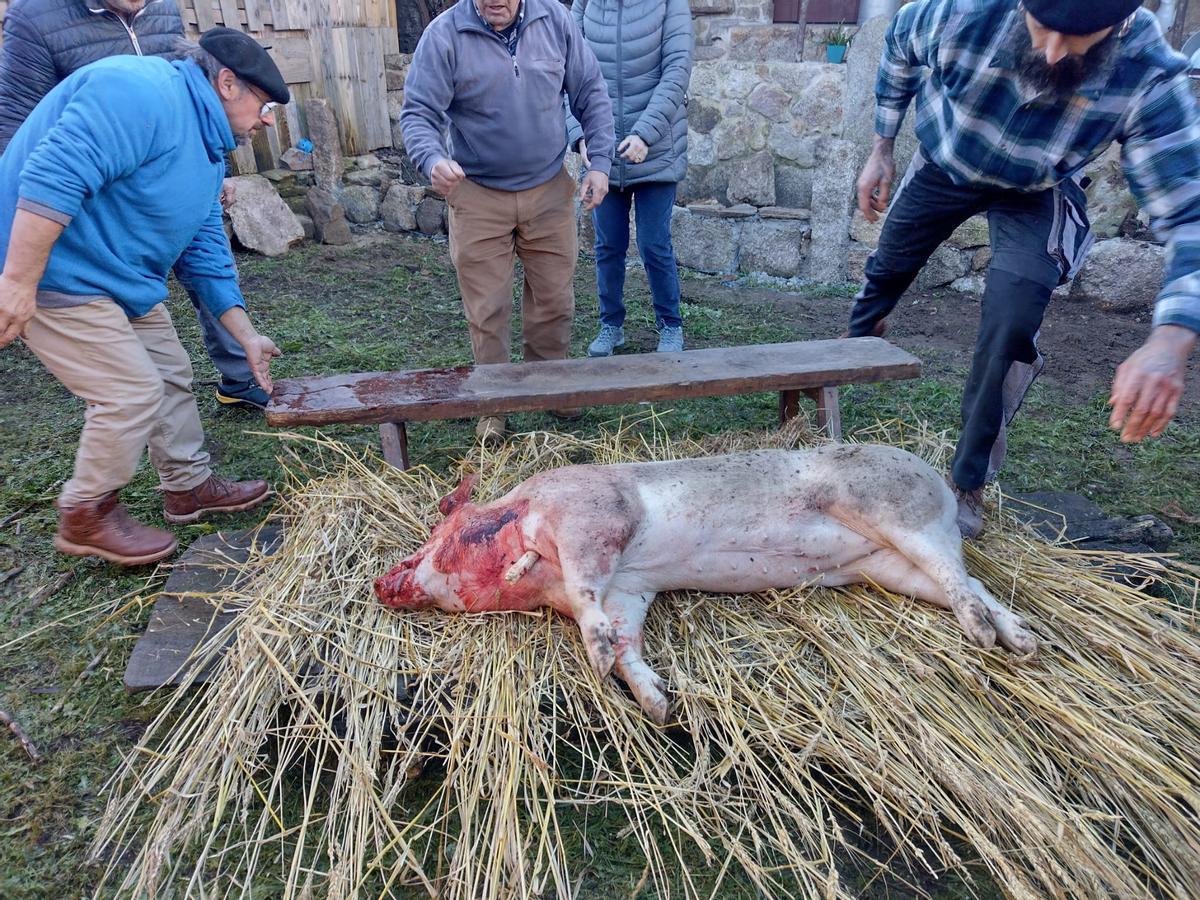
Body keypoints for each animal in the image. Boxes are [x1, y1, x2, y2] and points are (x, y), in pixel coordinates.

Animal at [379, 448, 1036, 724]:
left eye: (434, 535)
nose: (383, 581)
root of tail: (939, 482)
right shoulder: (630, 590)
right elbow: (627, 642)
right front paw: (659, 706)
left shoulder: (592, 518)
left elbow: (587, 589)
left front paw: (595, 656)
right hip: (889, 564)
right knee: (971, 580)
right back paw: (1022, 641)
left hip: (895, 510)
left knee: (958, 576)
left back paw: (983, 638)